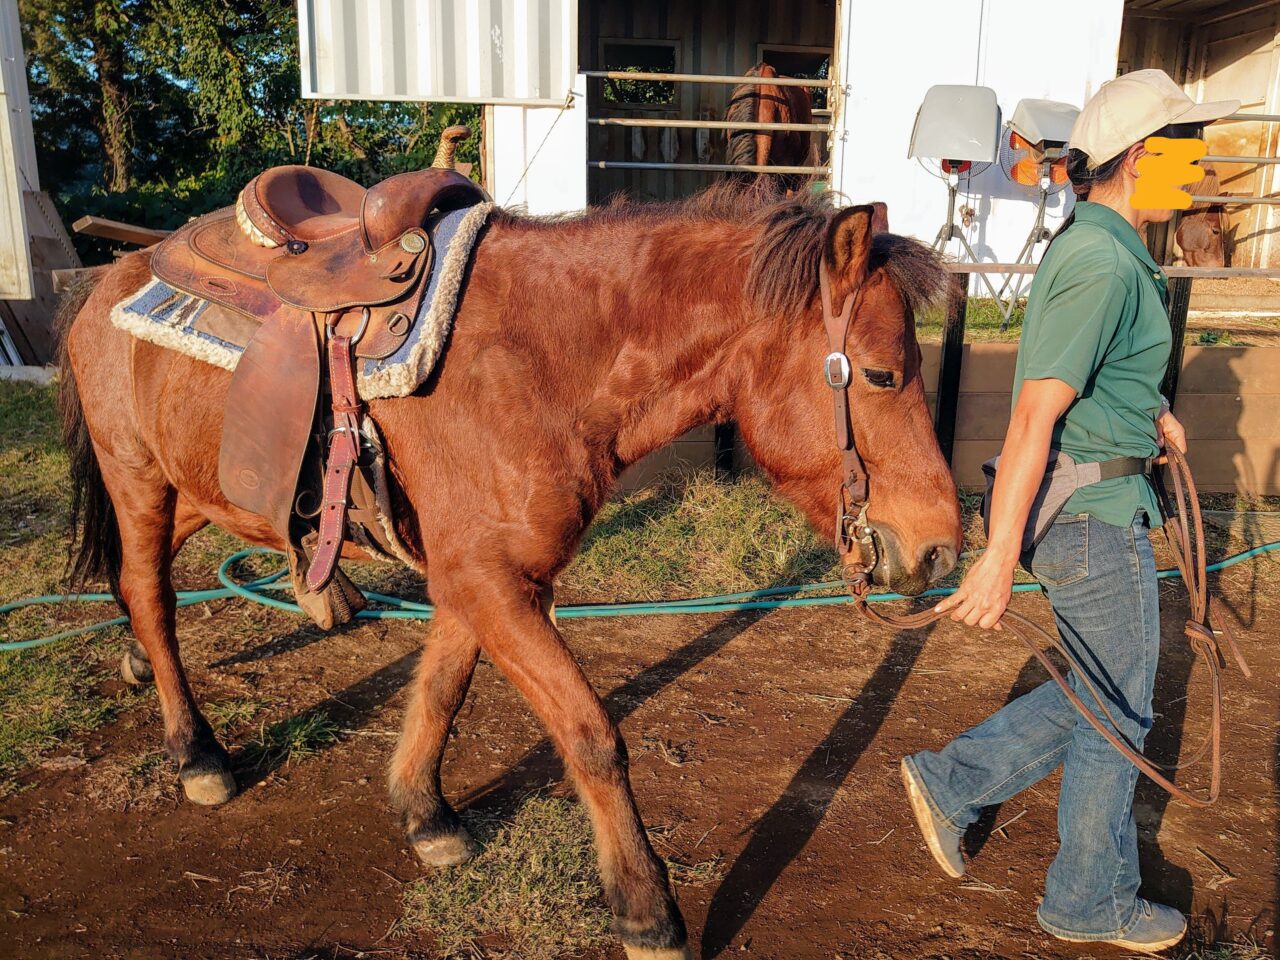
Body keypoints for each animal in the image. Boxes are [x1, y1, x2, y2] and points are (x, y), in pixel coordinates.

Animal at [60, 180, 962, 960]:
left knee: (137, 590)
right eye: (883, 373)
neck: (539, 361)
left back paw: (144, 665)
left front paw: (425, 815)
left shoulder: (481, 577)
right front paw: (647, 912)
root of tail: (112, 278)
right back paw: (196, 754)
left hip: (192, 490)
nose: (943, 549)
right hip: (138, 479)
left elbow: (442, 689)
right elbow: (592, 736)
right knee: (150, 595)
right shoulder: (491, 583)